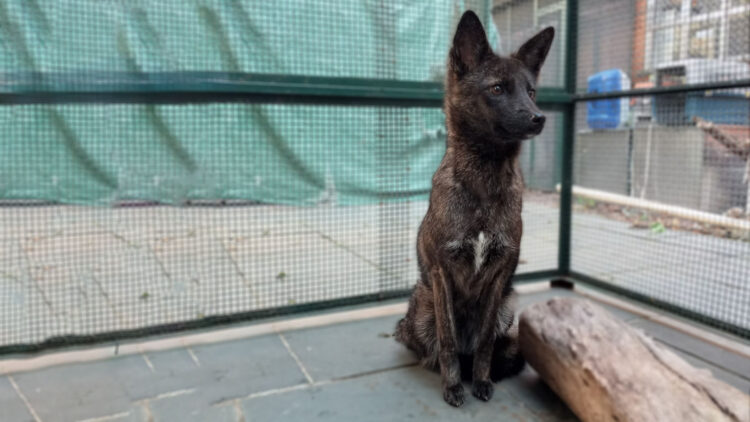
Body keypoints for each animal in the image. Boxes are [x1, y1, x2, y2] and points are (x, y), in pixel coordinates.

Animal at [394, 11, 554, 407]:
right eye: (497, 89)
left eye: (530, 91)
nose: (539, 118)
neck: (483, 182)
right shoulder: (441, 272)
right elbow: (448, 340)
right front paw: (453, 386)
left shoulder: (499, 277)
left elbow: (483, 343)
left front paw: (480, 380)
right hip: (422, 303)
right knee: (428, 346)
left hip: (508, 307)